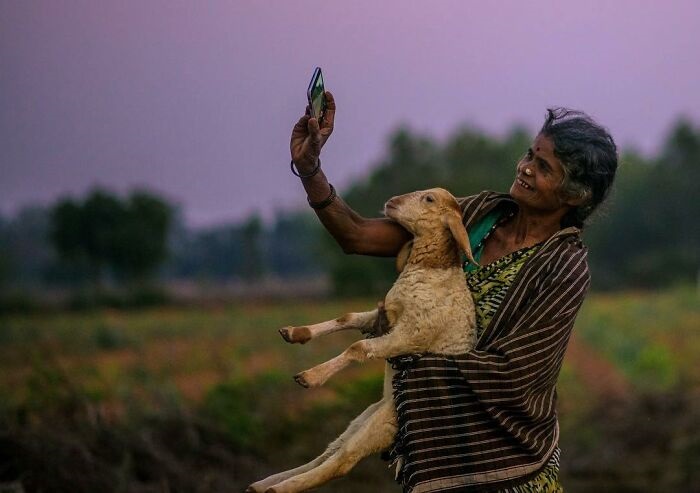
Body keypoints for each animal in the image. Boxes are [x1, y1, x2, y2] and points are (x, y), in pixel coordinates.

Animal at [247, 187, 482, 492]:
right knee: (330, 451)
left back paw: (278, 488)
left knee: (342, 461)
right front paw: (296, 333)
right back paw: (265, 483)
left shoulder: (410, 334)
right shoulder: (386, 317)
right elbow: (346, 318)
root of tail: (386, 405)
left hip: (384, 424)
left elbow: (358, 346)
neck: (432, 269)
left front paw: (311, 376)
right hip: (363, 418)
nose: (391, 202)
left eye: (429, 199)